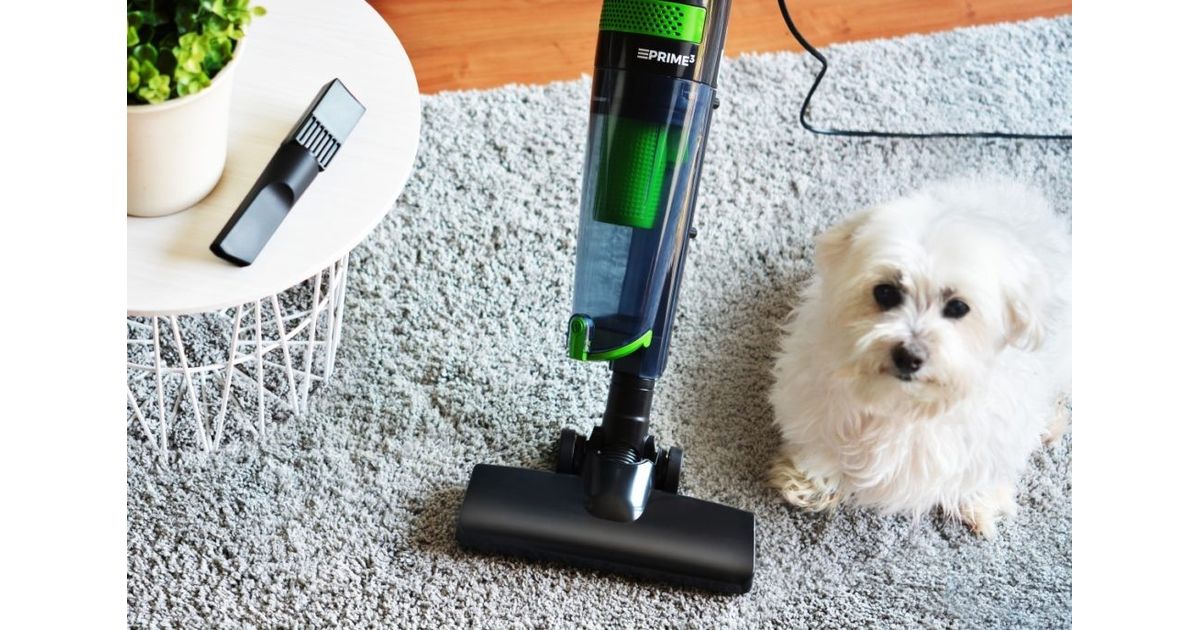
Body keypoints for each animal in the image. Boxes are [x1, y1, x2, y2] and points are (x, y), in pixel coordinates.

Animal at [767, 180, 1071, 537]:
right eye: (885, 292)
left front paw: (979, 502)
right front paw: (811, 481)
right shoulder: (815, 398)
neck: (903, 405)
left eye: (958, 307)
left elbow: (983, 468)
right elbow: (820, 445)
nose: (908, 355)